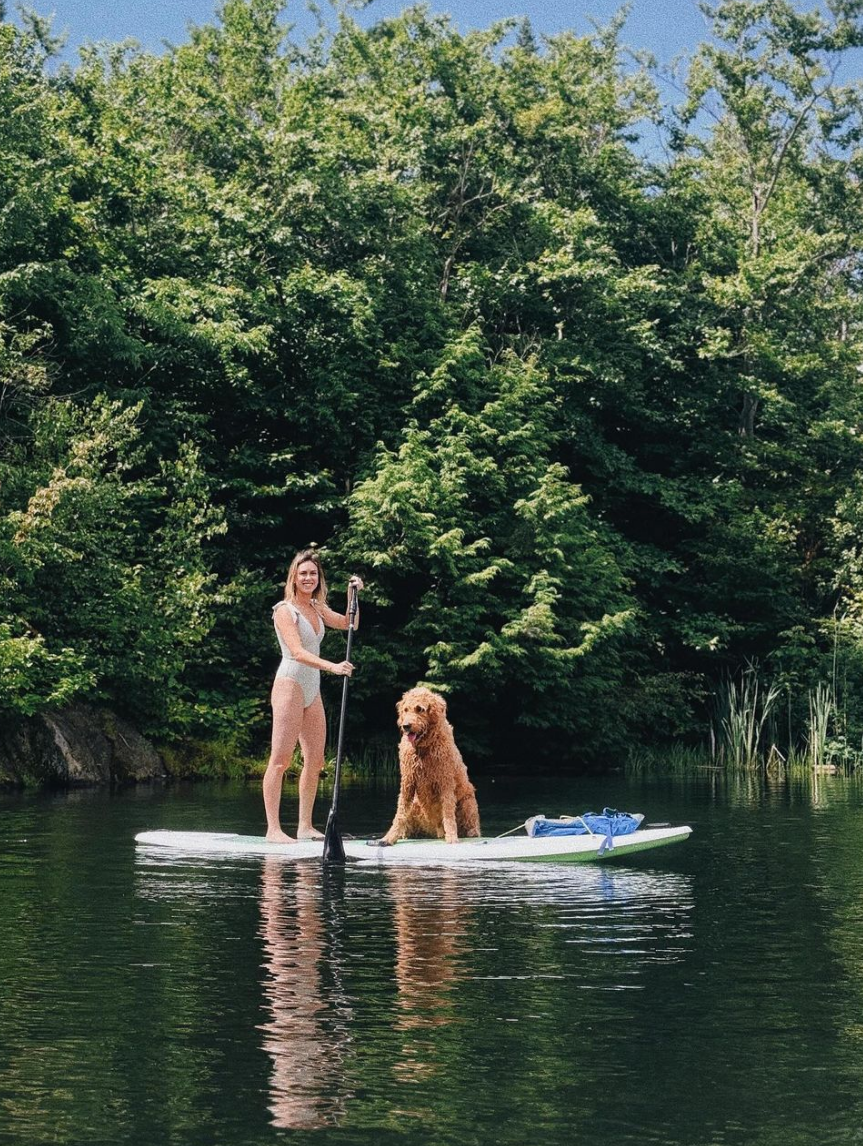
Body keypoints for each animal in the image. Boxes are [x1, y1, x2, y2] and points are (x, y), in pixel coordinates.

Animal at [380, 683, 481, 848]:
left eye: (420, 709)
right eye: (405, 710)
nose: (406, 726)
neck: (423, 749)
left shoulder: (445, 782)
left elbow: (448, 813)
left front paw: (452, 837)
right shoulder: (408, 783)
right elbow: (400, 814)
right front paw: (389, 838)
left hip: (468, 803)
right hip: (415, 806)